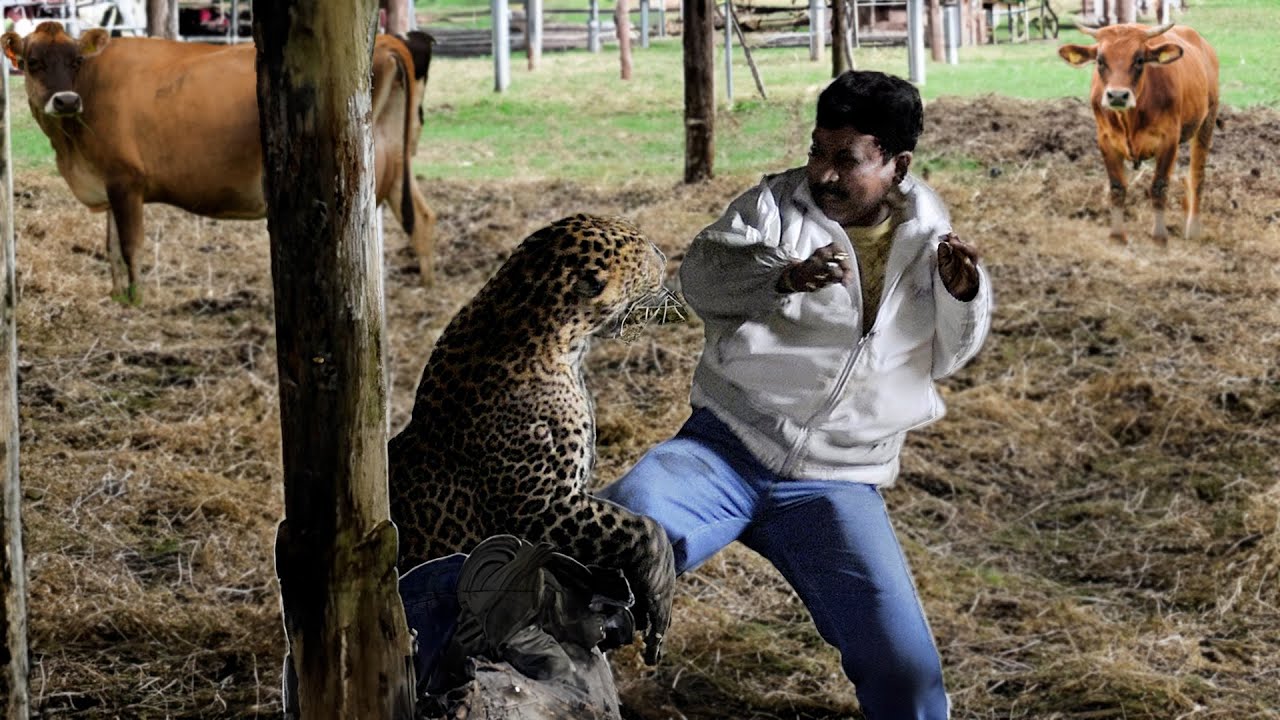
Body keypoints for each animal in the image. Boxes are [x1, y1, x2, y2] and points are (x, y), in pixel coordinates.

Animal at [2, 23, 437, 302]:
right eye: (33, 62)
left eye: (76, 61)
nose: (66, 100)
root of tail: (386, 41)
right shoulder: (108, 181)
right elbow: (109, 248)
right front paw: (117, 297)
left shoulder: (126, 180)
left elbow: (129, 246)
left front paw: (138, 300)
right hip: (394, 158)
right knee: (421, 214)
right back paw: (425, 286)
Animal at [1054, 22, 1223, 243]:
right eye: (1100, 60)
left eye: (1140, 60)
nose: (1118, 95)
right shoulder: (1105, 140)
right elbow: (1117, 187)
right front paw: (1117, 235)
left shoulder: (1168, 141)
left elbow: (1159, 187)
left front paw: (1159, 236)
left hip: (1207, 121)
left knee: (1197, 175)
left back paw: (1193, 229)